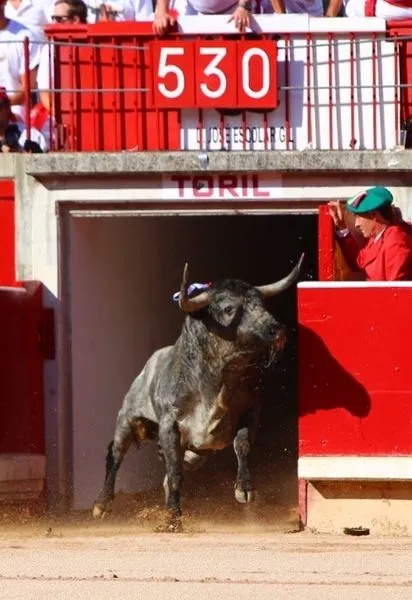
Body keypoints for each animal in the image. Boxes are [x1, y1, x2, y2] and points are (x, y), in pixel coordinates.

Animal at [92, 255, 304, 526]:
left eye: (262, 304)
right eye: (229, 309)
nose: (276, 329)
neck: (217, 384)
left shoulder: (252, 409)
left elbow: (242, 444)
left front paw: (244, 489)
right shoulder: (169, 425)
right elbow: (174, 473)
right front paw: (172, 518)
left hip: (195, 454)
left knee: (169, 473)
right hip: (127, 419)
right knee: (116, 454)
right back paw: (102, 504)